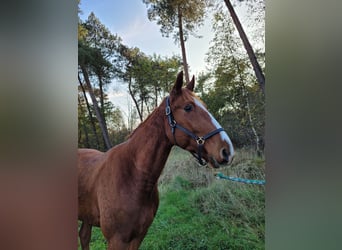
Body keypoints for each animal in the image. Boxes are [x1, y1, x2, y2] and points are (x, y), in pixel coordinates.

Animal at [79, 71, 235, 250]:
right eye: (188, 107)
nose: (227, 150)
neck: (133, 177)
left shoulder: (138, 236)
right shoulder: (116, 240)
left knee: (84, 236)